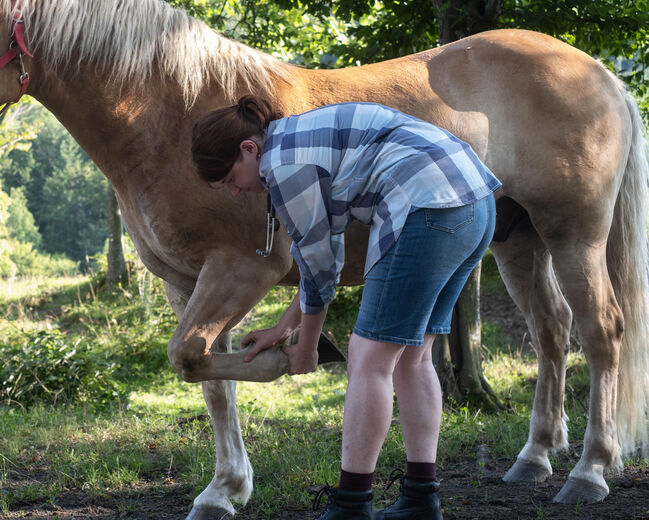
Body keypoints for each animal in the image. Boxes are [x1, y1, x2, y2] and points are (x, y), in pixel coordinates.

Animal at [2, 0, 644, 516]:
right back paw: (535, 457)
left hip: (574, 237)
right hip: (519, 243)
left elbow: (192, 355)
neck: (168, 113)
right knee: (552, 332)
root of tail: (602, 75)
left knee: (602, 332)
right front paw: (224, 490)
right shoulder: (184, 281)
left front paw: (285, 358)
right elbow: (209, 379)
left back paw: (590, 470)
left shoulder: (239, 268)